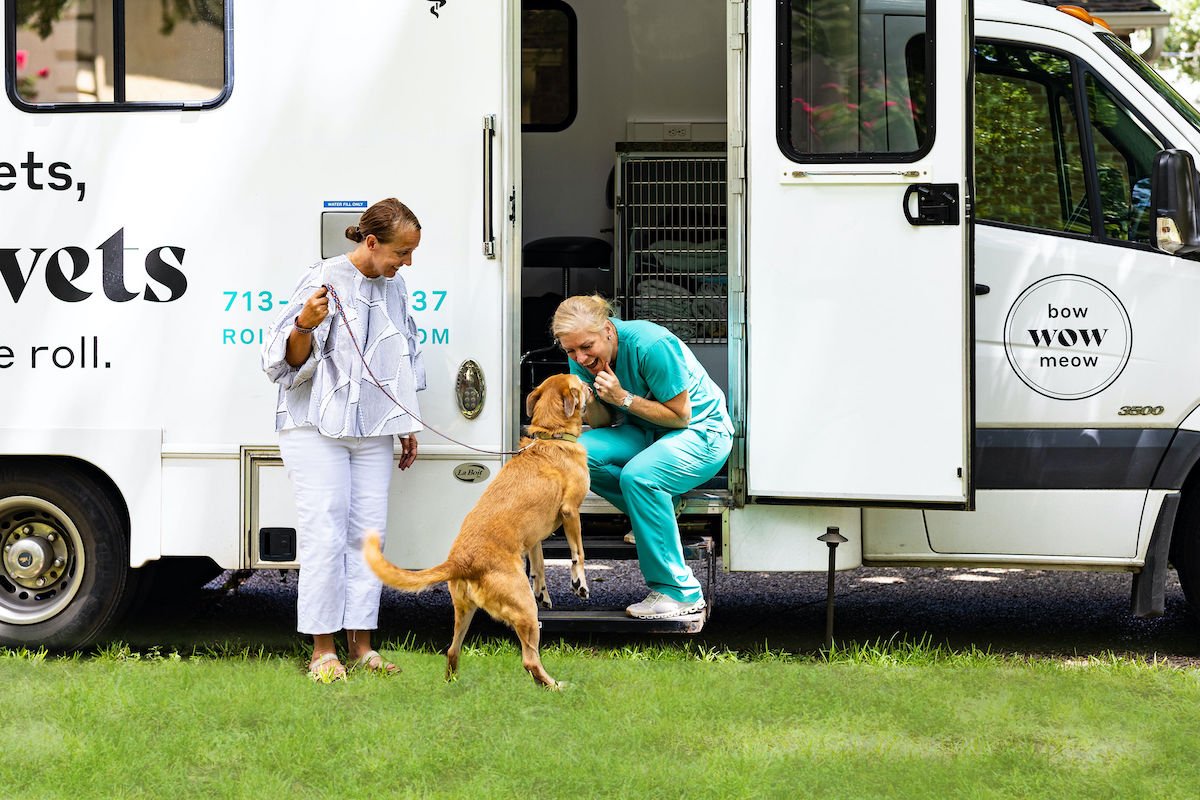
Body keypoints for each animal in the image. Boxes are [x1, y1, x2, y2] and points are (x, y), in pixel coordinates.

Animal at [362, 371, 592, 686]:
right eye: (580, 385)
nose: (592, 386)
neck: (551, 436)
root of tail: (461, 561)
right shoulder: (571, 512)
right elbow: (578, 553)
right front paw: (580, 584)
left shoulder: (534, 538)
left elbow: (540, 565)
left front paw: (544, 592)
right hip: (524, 611)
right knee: (530, 660)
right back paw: (555, 685)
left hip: (465, 612)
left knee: (451, 651)